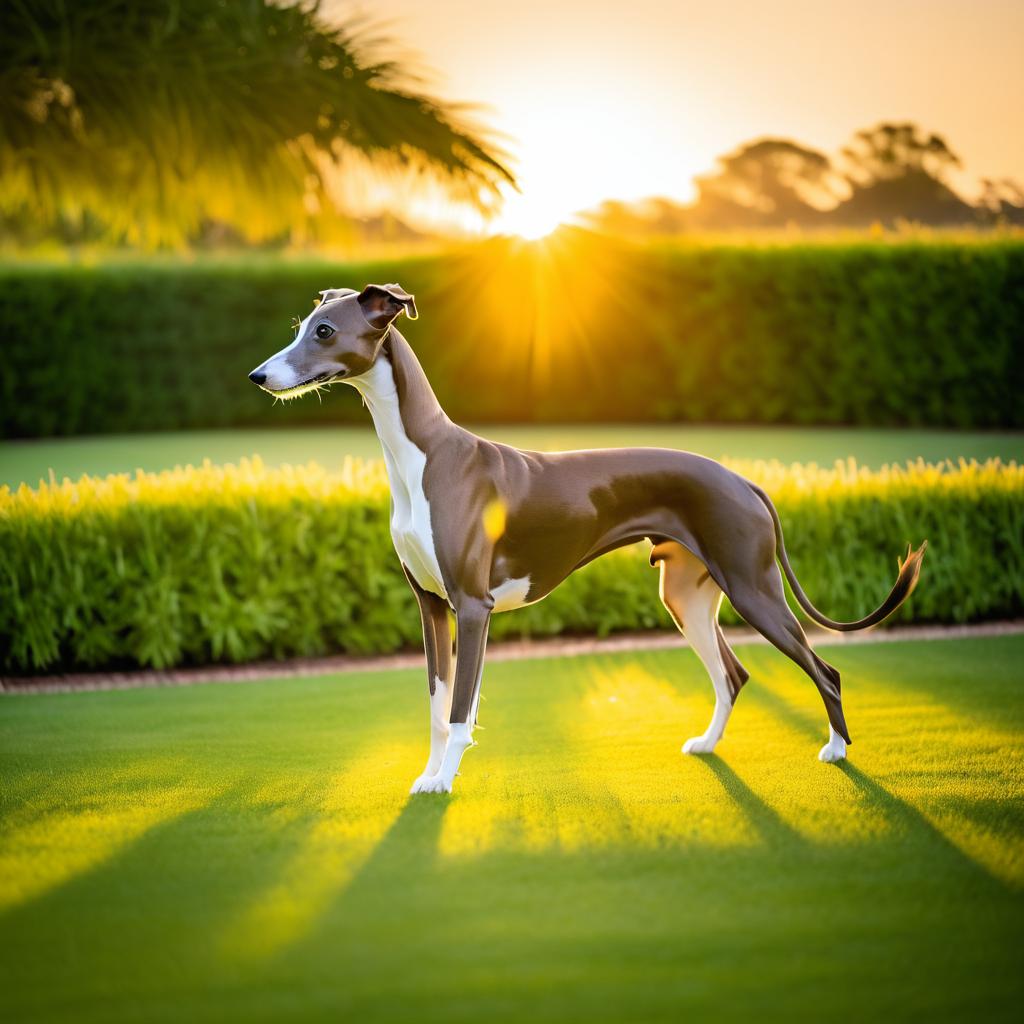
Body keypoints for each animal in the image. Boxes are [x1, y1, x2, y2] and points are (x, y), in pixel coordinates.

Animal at [249, 284, 929, 794]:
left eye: (325, 332)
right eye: (302, 325)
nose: (258, 375)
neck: (422, 455)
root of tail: (744, 480)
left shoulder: (472, 606)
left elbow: (462, 710)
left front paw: (444, 781)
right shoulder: (431, 606)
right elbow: (438, 709)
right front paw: (428, 776)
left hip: (753, 589)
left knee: (826, 670)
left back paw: (837, 750)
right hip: (687, 598)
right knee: (733, 675)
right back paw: (709, 744)